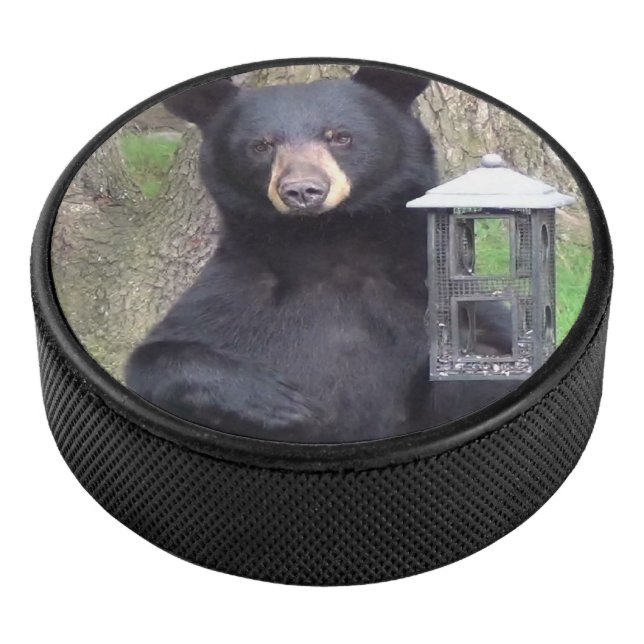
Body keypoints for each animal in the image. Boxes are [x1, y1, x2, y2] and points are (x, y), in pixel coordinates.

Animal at [125, 66, 515, 442]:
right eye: (261, 145)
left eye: (340, 136)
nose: (302, 191)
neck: (328, 240)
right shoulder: (235, 289)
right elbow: (154, 358)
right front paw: (277, 401)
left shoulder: (427, 284)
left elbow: (490, 346)